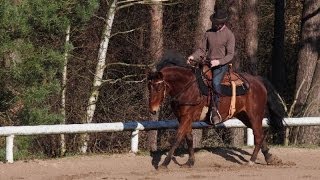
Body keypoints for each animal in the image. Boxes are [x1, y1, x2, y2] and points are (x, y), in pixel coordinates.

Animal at [148, 51, 284, 169]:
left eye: (158, 87)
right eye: (149, 87)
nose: (152, 110)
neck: (188, 87)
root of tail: (258, 81)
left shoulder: (186, 117)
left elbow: (178, 138)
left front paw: (164, 163)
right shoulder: (182, 118)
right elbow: (189, 138)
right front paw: (190, 162)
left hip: (254, 115)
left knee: (259, 135)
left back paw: (252, 160)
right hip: (244, 116)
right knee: (259, 134)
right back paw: (269, 158)